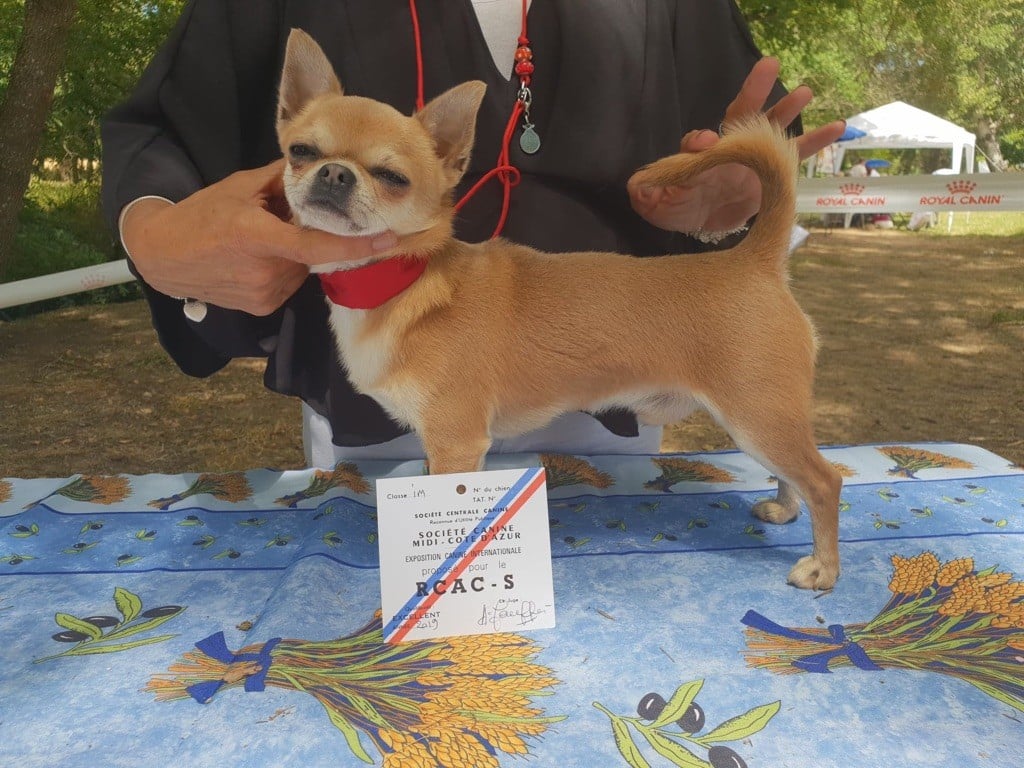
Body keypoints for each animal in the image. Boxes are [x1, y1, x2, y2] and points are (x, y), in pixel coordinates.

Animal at [278, 25, 839, 589]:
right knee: (795, 476)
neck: (404, 278)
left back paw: (823, 567)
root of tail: (753, 259)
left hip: (758, 416)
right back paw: (784, 510)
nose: (334, 173)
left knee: (824, 479)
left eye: (392, 177)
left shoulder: (456, 441)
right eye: (299, 151)